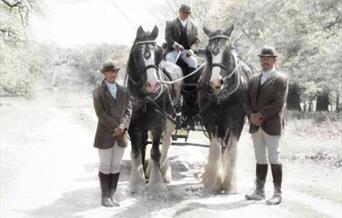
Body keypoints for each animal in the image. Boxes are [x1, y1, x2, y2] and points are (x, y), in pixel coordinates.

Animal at [127, 24, 183, 193]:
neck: (145, 97)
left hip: (171, 118)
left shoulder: (158, 123)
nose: (153, 84)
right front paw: (135, 182)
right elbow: (136, 152)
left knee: (166, 142)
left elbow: (156, 152)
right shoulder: (133, 125)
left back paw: (162, 171)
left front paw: (156, 183)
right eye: (138, 54)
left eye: (158, 54)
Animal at [199, 24, 252, 193]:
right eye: (208, 51)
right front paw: (213, 182)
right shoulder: (211, 121)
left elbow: (231, 149)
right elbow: (215, 149)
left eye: (228, 50)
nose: (216, 82)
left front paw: (229, 183)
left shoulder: (237, 121)